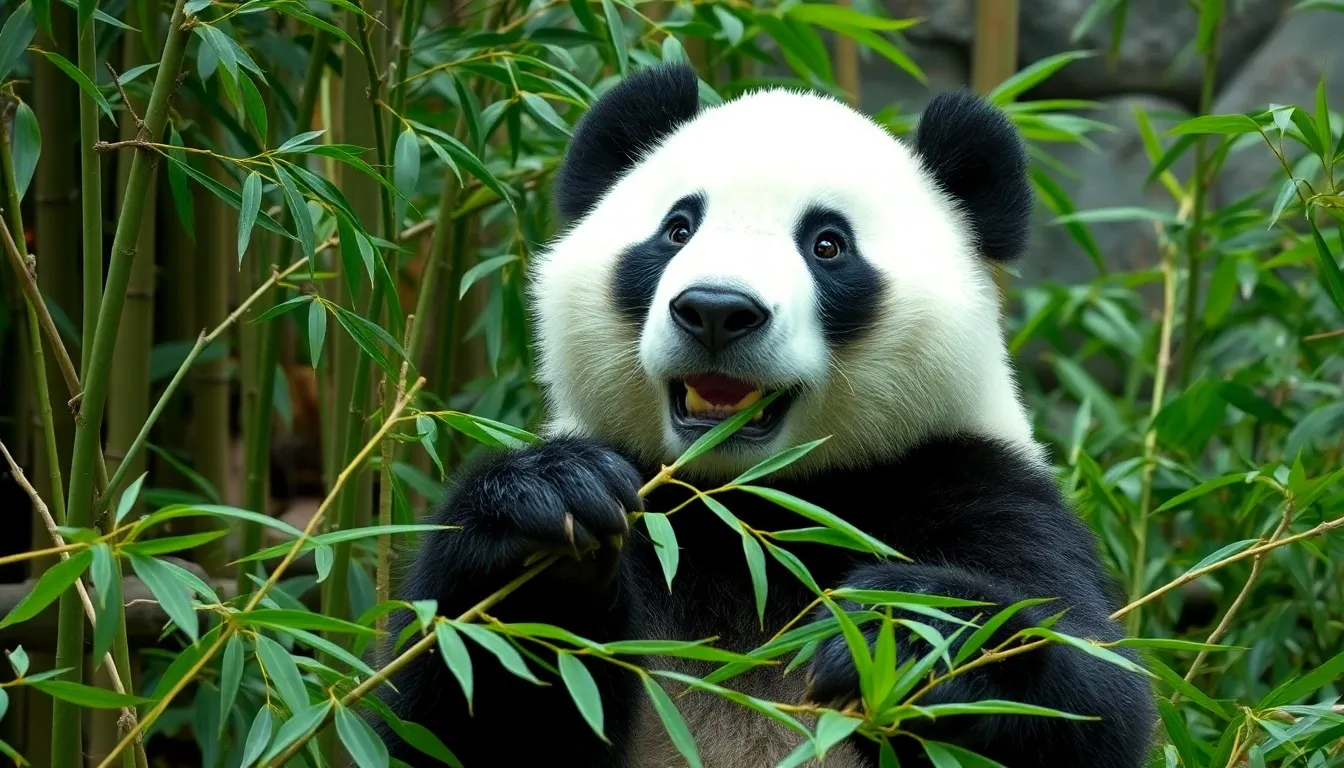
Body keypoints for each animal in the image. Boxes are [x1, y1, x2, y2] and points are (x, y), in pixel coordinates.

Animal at [374, 62, 1156, 767]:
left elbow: (1090, 698)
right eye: (678, 228)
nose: (717, 309)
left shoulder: (970, 482)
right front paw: (549, 519)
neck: (749, 501)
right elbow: (455, 708)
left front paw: (900, 632)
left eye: (828, 244)